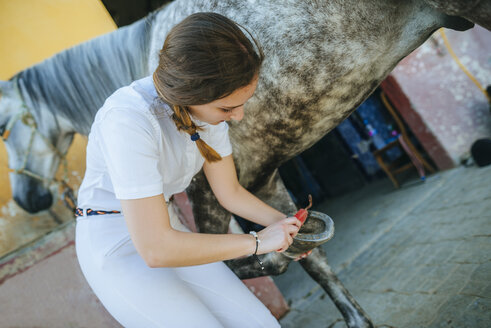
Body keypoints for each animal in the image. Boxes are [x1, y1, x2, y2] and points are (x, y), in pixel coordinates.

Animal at [0, 0, 480, 326]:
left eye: (4, 125)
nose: (27, 198)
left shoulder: (208, 193)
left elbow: (237, 259)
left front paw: (270, 260)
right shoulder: (263, 180)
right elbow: (313, 258)